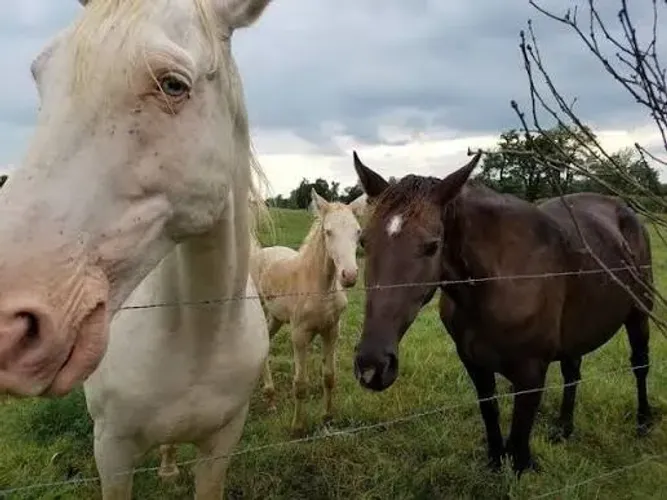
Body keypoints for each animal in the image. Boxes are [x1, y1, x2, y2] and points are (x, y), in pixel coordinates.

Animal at [0, 0, 275, 498]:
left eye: (173, 85)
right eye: (40, 76)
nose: (9, 326)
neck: (198, 335)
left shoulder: (223, 442)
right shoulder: (111, 449)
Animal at [250, 189, 361, 435]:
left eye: (358, 231)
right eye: (328, 232)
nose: (349, 276)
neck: (319, 288)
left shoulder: (331, 331)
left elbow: (329, 377)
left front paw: (327, 418)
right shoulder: (300, 335)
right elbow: (300, 384)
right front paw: (298, 427)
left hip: (276, 317)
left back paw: (269, 398)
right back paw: (269, 394)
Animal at [350, 150, 654, 474]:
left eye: (432, 246)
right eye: (364, 242)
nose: (372, 366)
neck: (495, 282)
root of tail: (623, 209)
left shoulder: (531, 373)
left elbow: (520, 439)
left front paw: (518, 467)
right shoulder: (474, 364)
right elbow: (490, 411)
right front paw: (495, 462)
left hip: (639, 315)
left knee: (640, 364)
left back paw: (644, 422)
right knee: (572, 373)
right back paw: (563, 428)